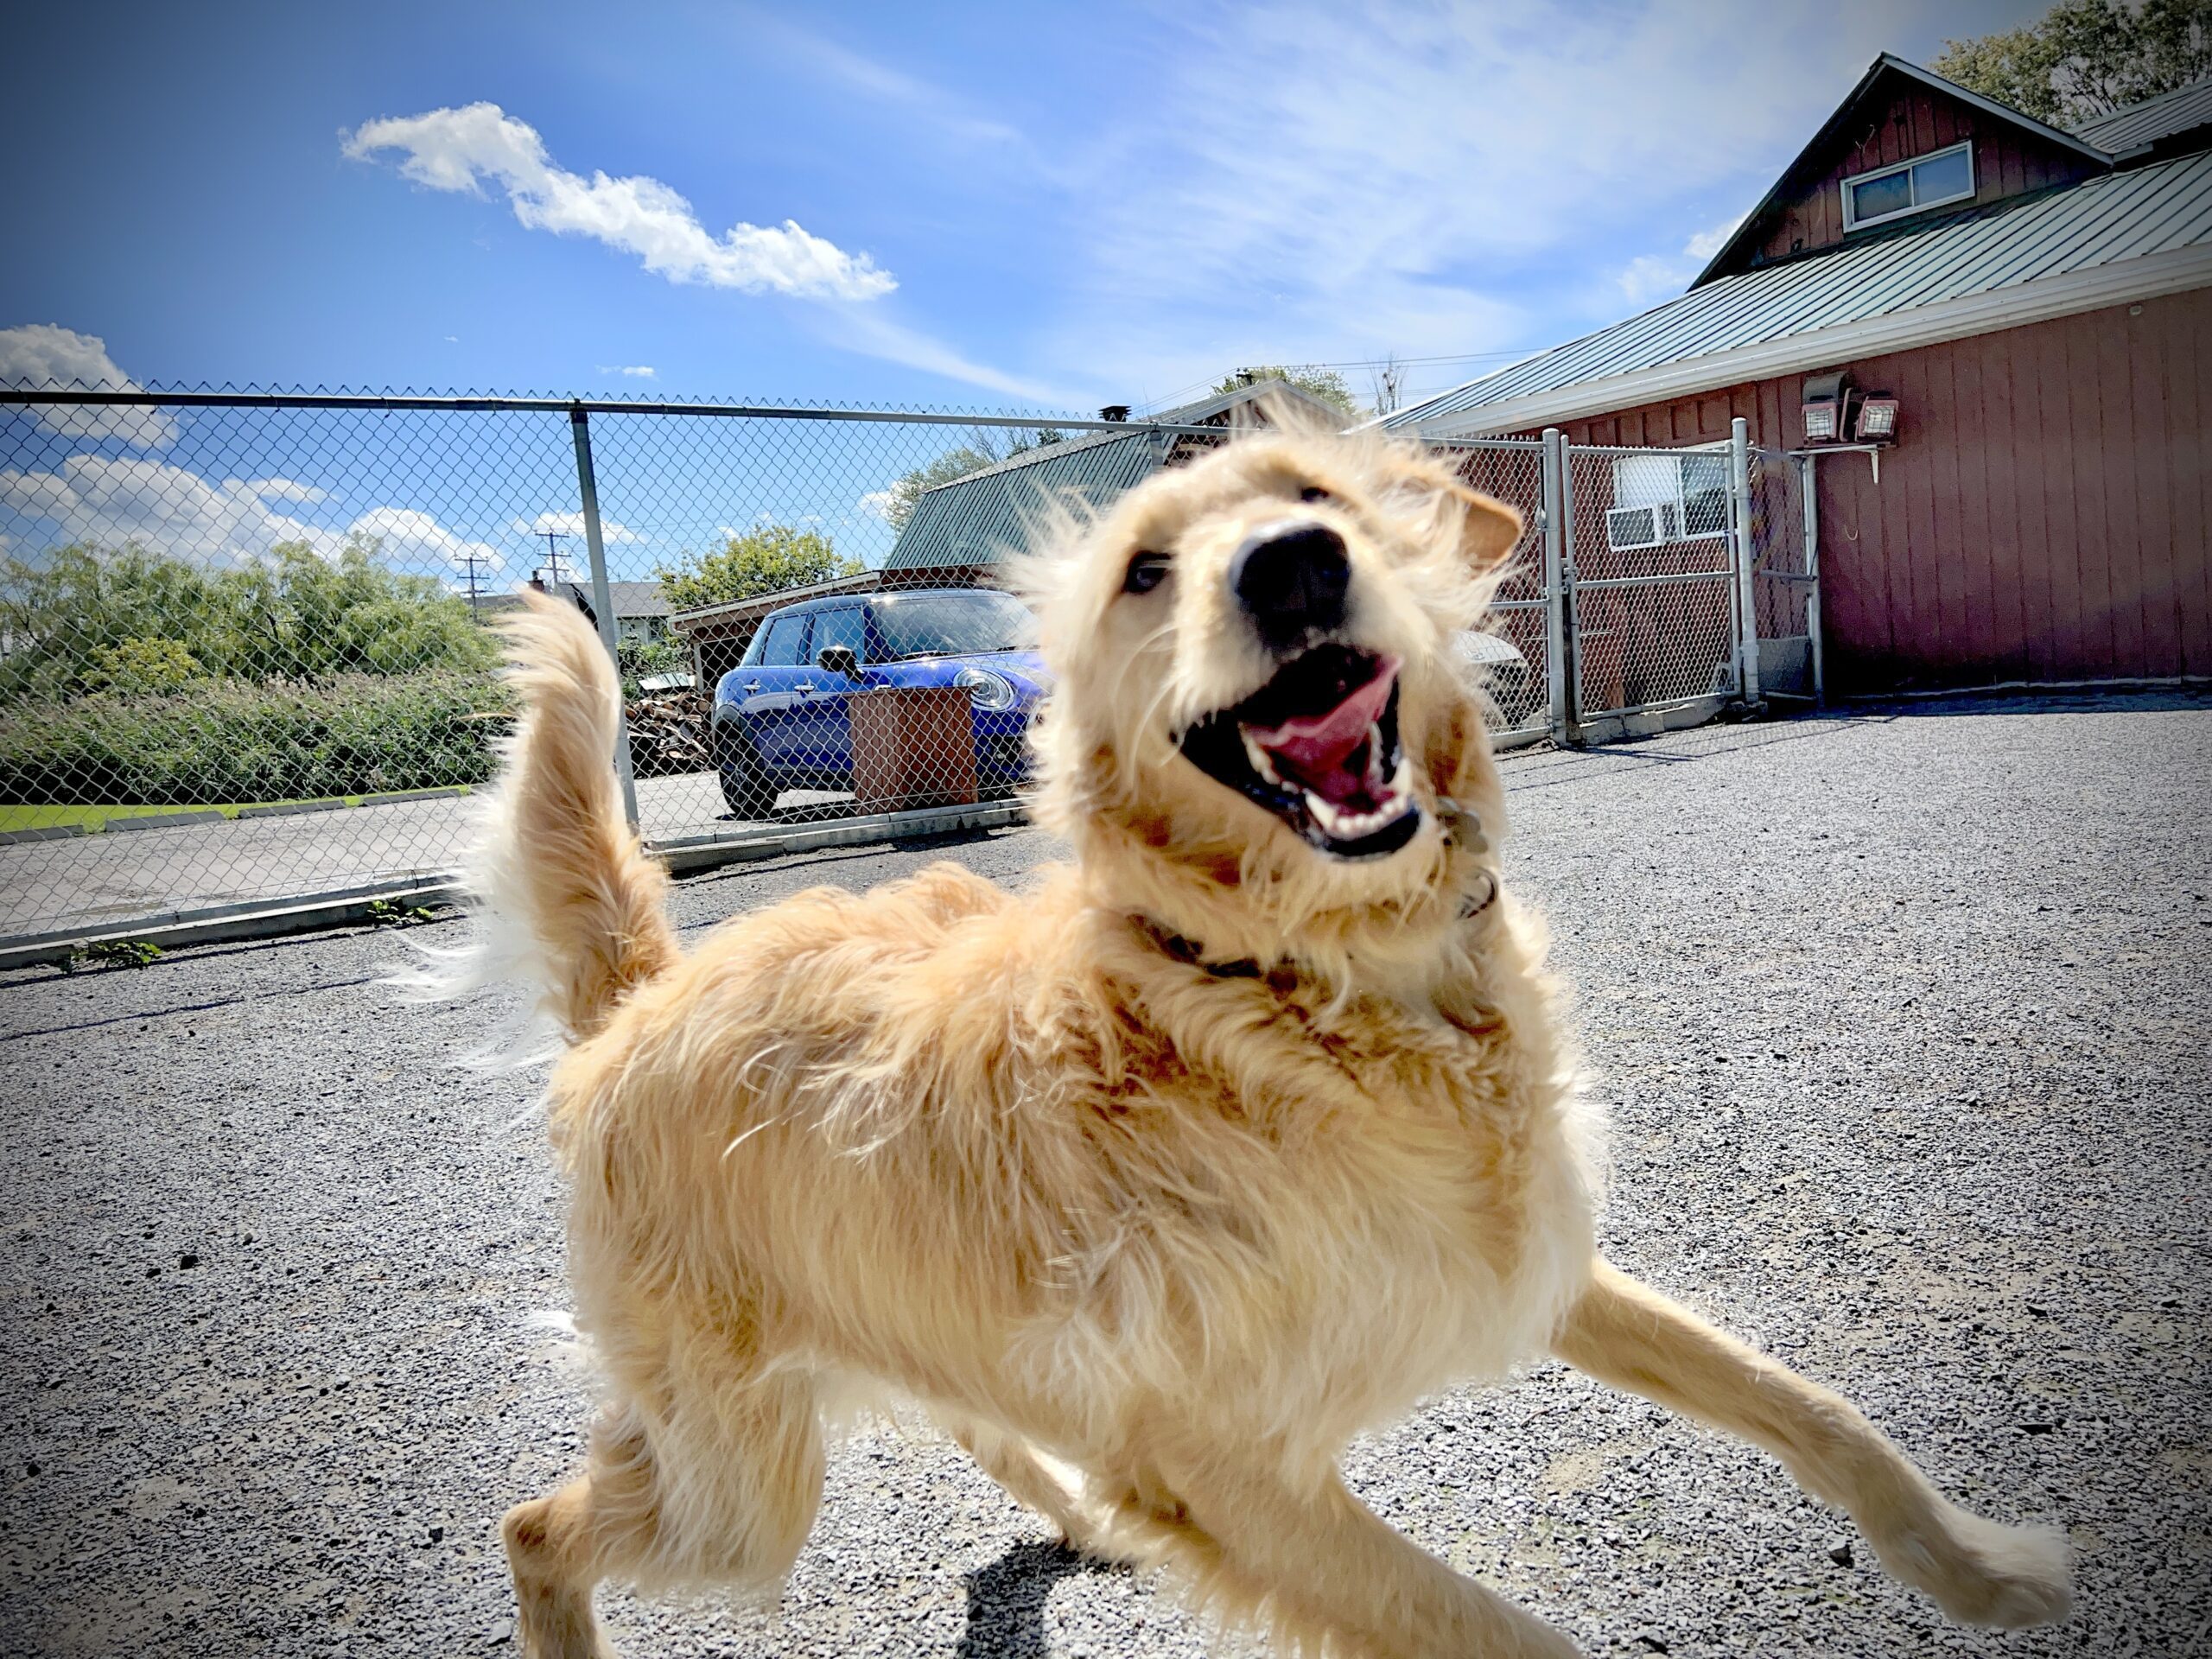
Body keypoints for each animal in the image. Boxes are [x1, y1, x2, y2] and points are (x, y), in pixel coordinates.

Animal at [444, 422, 2070, 1654]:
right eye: (1144, 571)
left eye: (1316, 498)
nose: (1294, 567)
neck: (1316, 993)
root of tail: (644, 994)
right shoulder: (1247, 1483)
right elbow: (1516, 1637)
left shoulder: (1536, 1268)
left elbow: (1821, 1407)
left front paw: (1985, 1568)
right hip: (738, 1490)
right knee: (532, 1526)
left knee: (964, 1411)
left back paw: (1080, 1512)